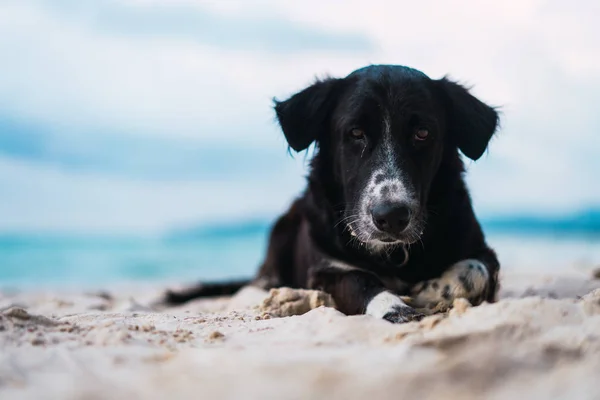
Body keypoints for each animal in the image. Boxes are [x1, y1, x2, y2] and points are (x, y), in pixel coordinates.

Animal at [166, 65, 500, 322]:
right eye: (355, 133)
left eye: (423, 133)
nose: (391, 217)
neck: (392, 255)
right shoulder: (325, 269)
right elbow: (359, 280)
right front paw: (394, 308)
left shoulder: (484, 252)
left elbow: (475, 270)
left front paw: (430, 289)